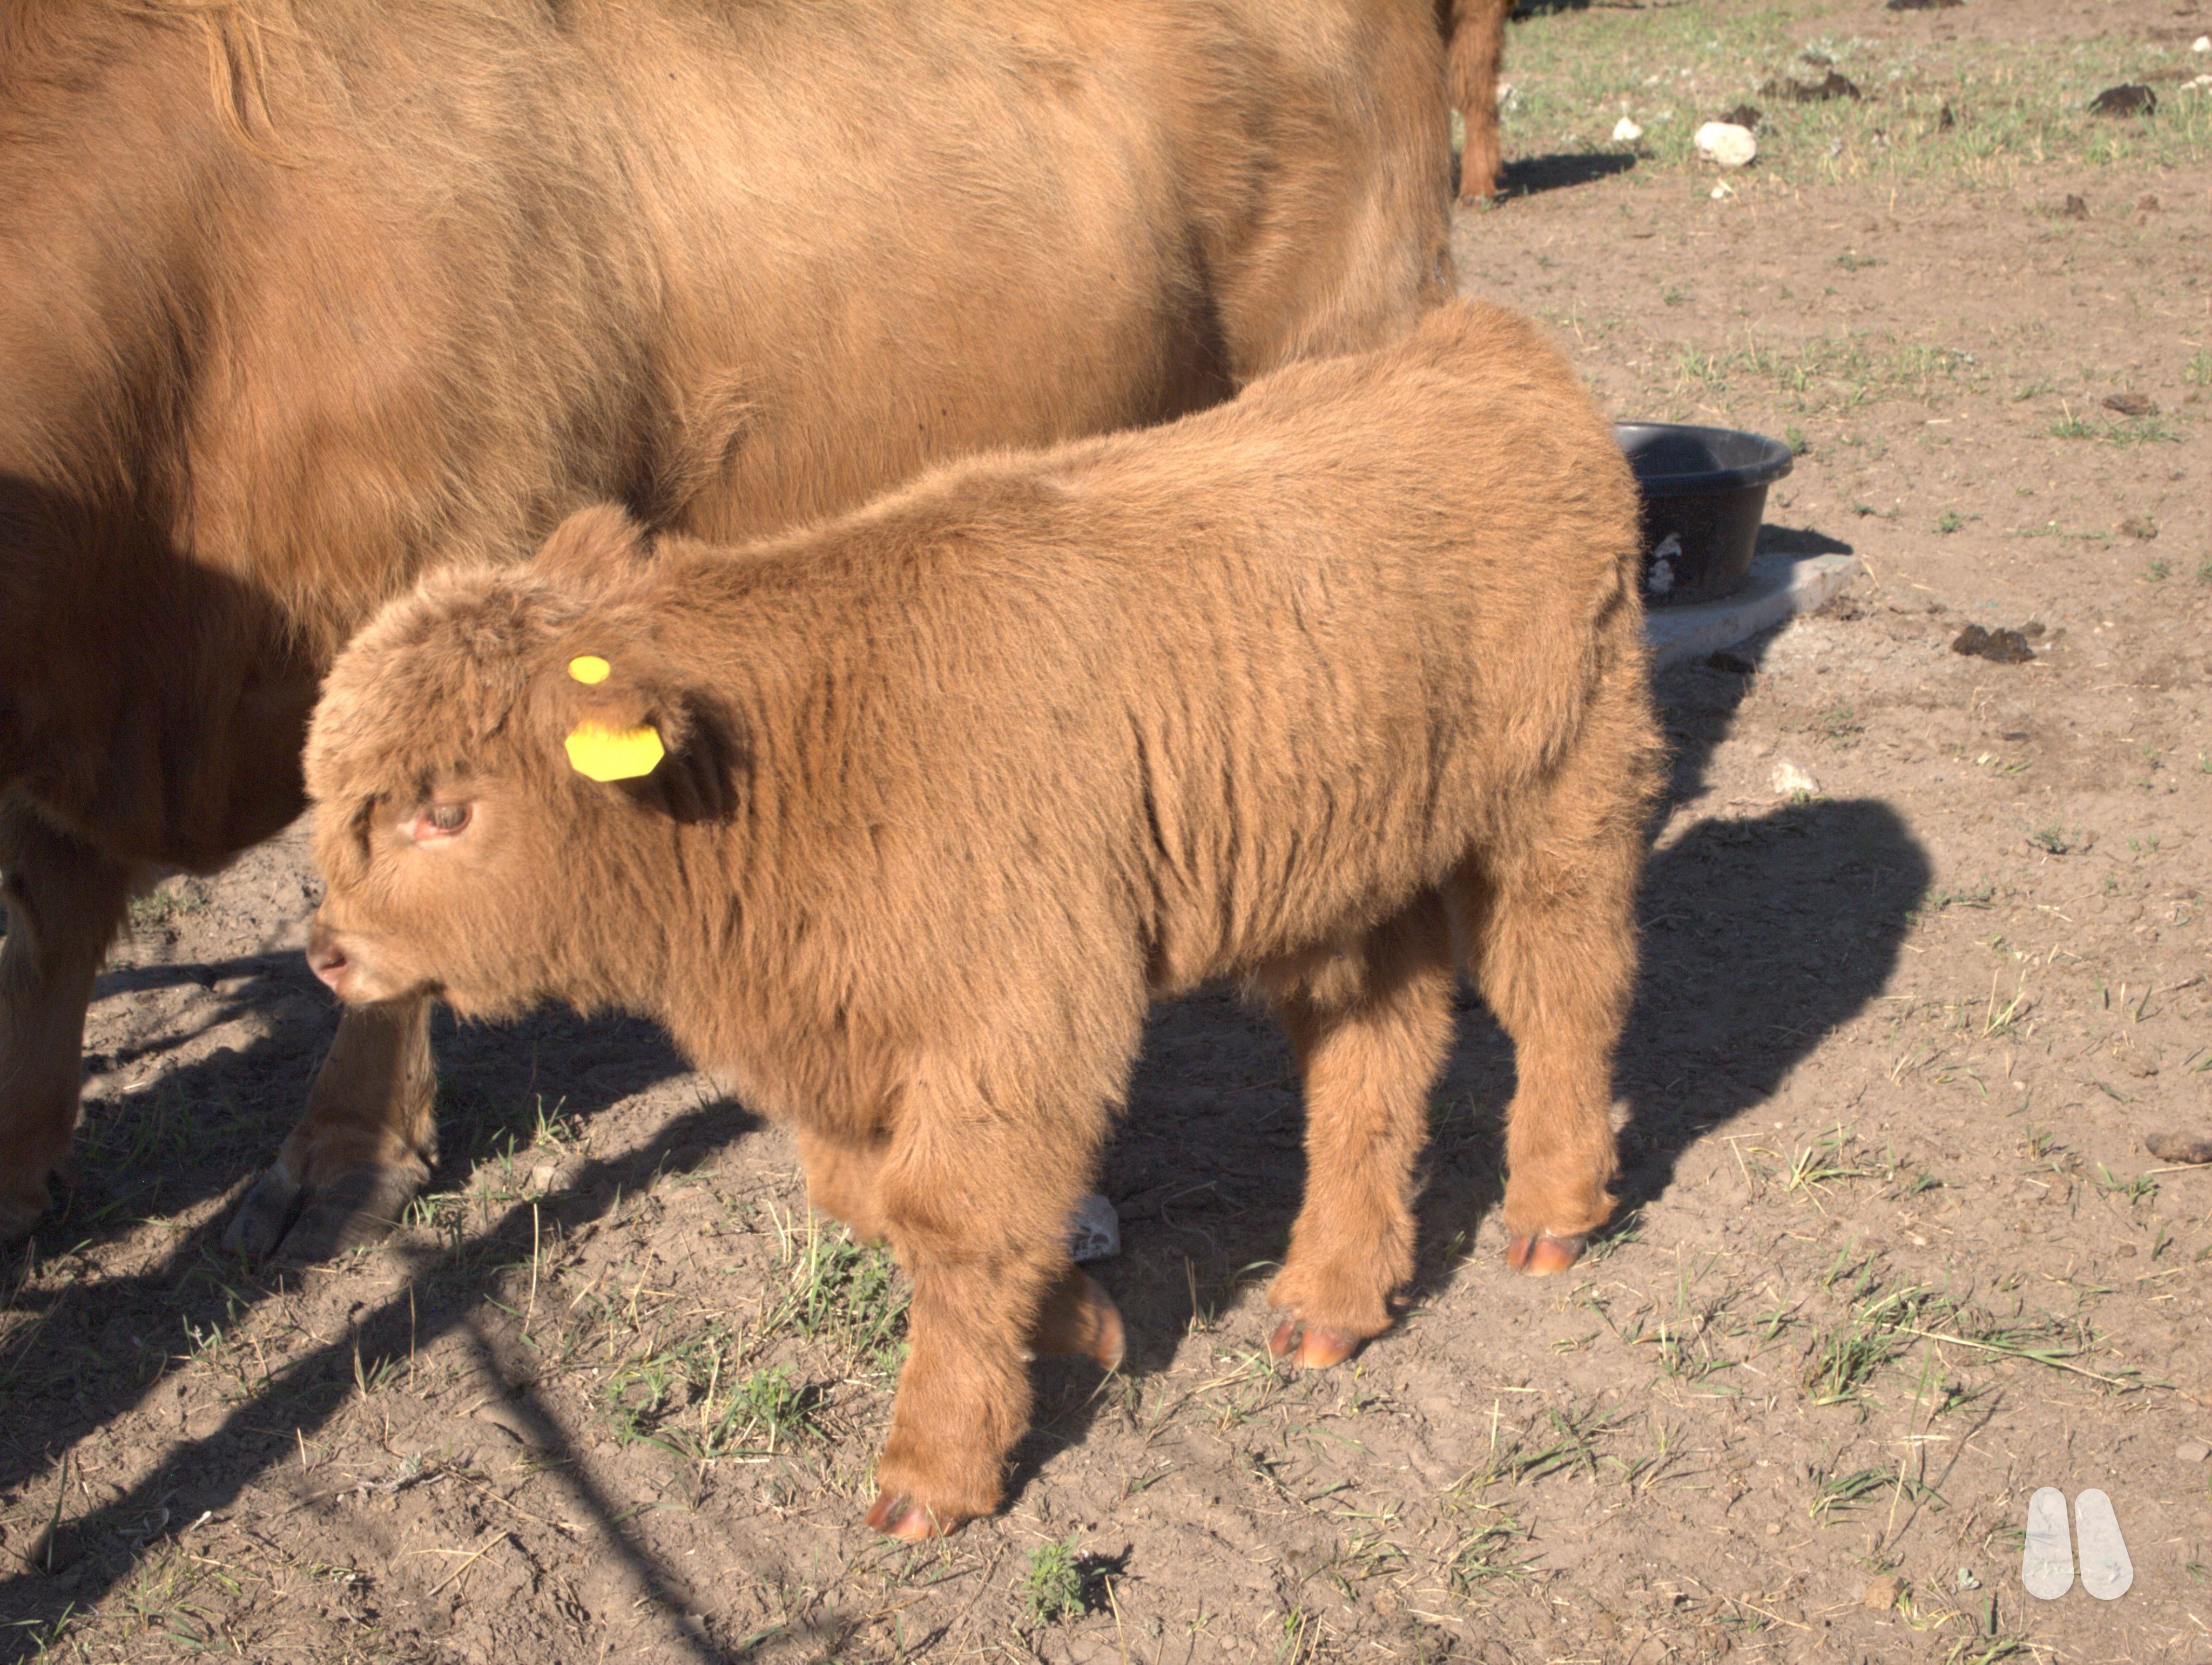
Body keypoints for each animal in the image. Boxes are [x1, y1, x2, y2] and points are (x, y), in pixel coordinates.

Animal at [302, 298, 1664, 1537]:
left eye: (443, 811)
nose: (328, 953)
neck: (804, 756)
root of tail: (1479, 340)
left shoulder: (1019, 1017)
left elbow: (954, 1221)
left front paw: (934, 1468)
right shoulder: (852, 1039)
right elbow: (872, 1201)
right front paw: (1079, 1316)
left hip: (1561, 785)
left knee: (1566, 982)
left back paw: (1552, 1209)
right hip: (1349, 863)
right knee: (1372, 1054)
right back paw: (1329, 1296)